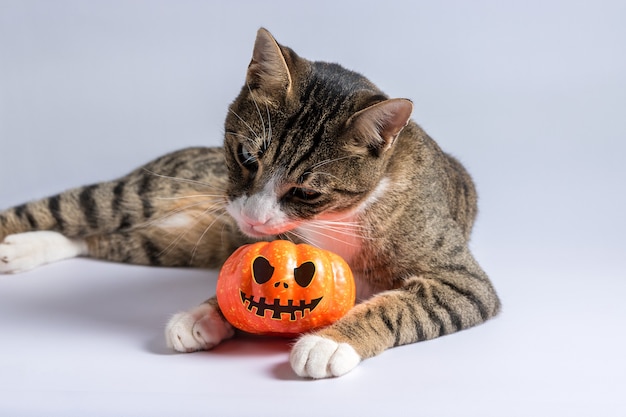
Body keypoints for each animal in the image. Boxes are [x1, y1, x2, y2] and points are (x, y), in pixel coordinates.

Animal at [0, 28, 498, 376]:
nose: (252, 218)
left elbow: (402, 307)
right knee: (72, 212)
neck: (344, 216)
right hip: (144, 193)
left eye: (307, 191)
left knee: (102, 238)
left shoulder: (462, 282)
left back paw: (25, 249)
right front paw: (206, 314)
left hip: (177, 244)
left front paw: (330, 342)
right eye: (246, 157)